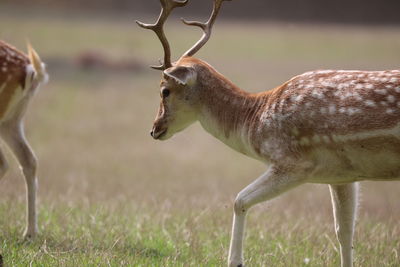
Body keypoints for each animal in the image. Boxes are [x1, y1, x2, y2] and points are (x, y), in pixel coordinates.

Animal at [138, 1, 400, 266]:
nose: (154, 129)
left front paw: (235, 261)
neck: (256, 120)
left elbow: (239, 200)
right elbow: (344, 231)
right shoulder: (342, 175)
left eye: (165, 90)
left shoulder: (294, 163)